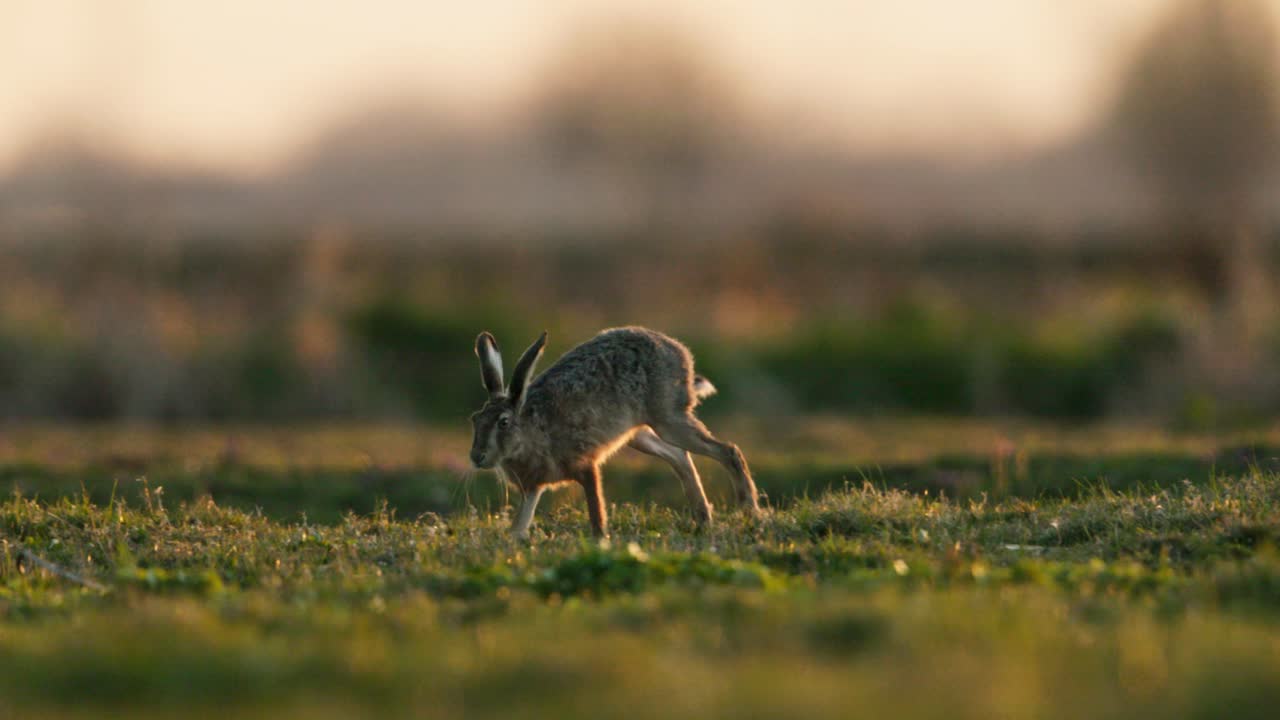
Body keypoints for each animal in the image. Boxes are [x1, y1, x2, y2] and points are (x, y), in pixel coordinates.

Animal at [469, 326, 760, 538]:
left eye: (503, 422)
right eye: (475, 420)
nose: (476, 457)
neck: (529, 432)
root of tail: (679, 351)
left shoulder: (585, 466)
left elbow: (596, 510)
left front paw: (601, 542)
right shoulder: (533, 488)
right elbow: (521, 520)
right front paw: (513, 540)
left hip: (668, 420)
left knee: (727, 451)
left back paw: (749, 511)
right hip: (639, 436)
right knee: (680, 457)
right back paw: (703, 520)